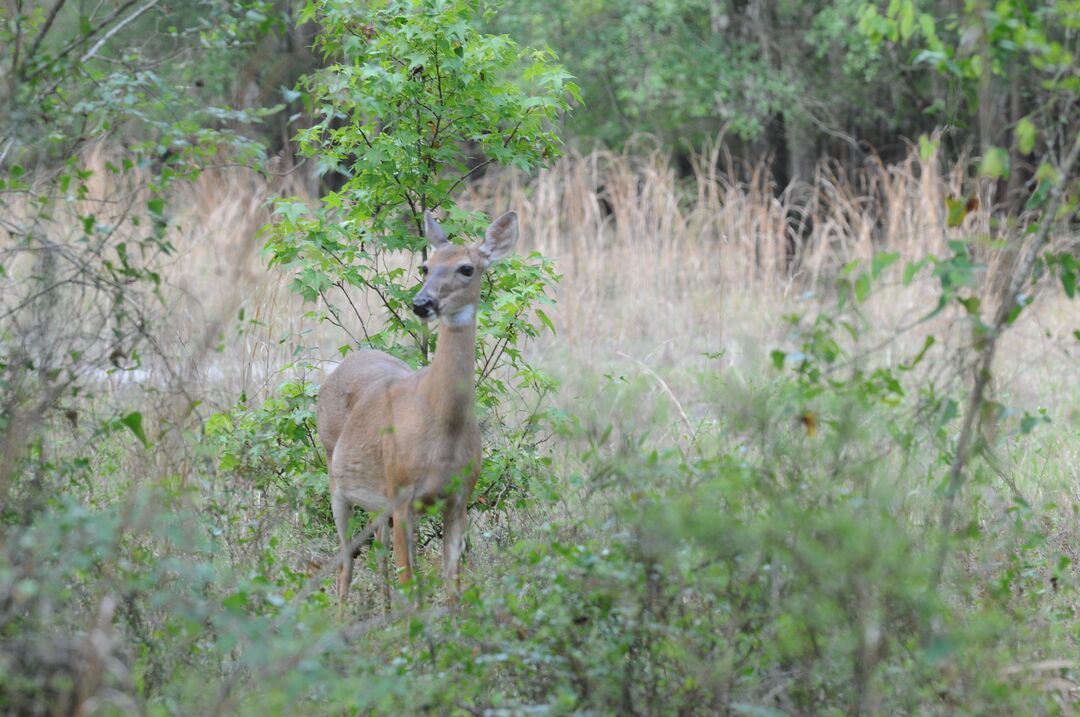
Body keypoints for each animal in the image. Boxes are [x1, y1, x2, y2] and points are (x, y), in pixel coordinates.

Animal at [313, 210, 518, 609]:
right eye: (425, 266)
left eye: (467, 268)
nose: (422, 303)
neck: (442, 429)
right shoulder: (402, 493)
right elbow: (410, 582)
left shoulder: (458, 499)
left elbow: (451, 588)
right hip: (336, 475)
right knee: (347, 558)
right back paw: (342, 615)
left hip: (377, 499)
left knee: (377, 550)